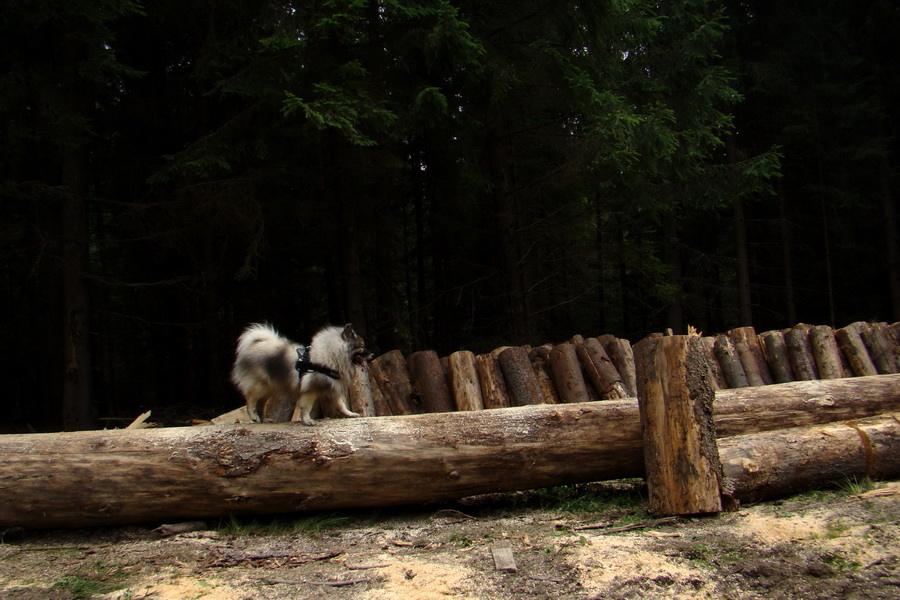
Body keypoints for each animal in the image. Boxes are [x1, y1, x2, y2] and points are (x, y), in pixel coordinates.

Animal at [234, 322, 374, 424]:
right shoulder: (310, 390)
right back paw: (254, 417)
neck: (331, 355)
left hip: (269, 389)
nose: (372, 354)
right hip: (260, 386)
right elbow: (307, 407)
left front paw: (350, 414)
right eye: (362, 347)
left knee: (261, 404)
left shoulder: (333, 386)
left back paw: (264, 419)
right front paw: (307, 420)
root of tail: (253, 346)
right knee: (251, 400)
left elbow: (341, 404)